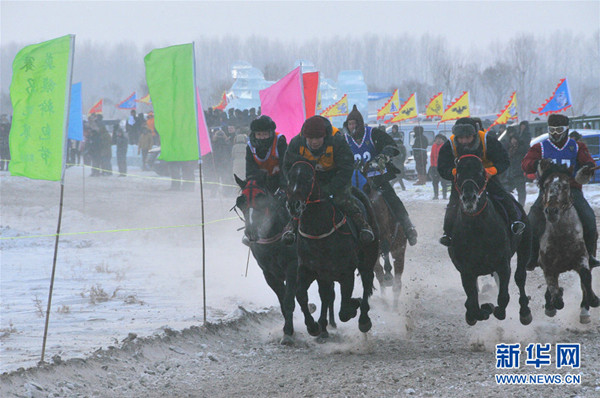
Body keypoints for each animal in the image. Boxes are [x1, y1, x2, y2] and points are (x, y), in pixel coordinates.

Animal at [233, 175, 338, 346]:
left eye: (261, 197)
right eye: (241, 201)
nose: (251, 231)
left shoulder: (293, 267)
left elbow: (292, 299)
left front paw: (303, 328)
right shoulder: (269, 273)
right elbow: (284, 301)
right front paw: (288, 330)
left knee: (326, 294)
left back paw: (324, 327)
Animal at [288, 160, 380, 338]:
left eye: (309, 178)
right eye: (289, 177)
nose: (294, 205)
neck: (319, 232)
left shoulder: (346, 272)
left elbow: (344, 311)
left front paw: (355, 304)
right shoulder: (308, 269)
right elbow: (300, 294)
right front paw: (312, 326)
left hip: (369, 256)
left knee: (367, 281)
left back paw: (363, 319)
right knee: (326, 294)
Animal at [448, 154, 532, 324]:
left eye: (481, 172)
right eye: (458, 173)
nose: (469, 197)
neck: (477, 230)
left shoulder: (503, 265)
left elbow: (503, 298)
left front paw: (493, 308)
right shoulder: (466, 271)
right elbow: (473, 305)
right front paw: (483, 309)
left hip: (525, 244)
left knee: (520, 277)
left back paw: (525, 311)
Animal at [536, 162, 596, 324]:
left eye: (565, 186)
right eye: (545, 185)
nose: (551, 211)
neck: (561, 236)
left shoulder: (582, 257)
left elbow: (585, 277)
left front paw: (593, 301)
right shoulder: (548, 267)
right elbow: (555, 294)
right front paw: (554, 301)